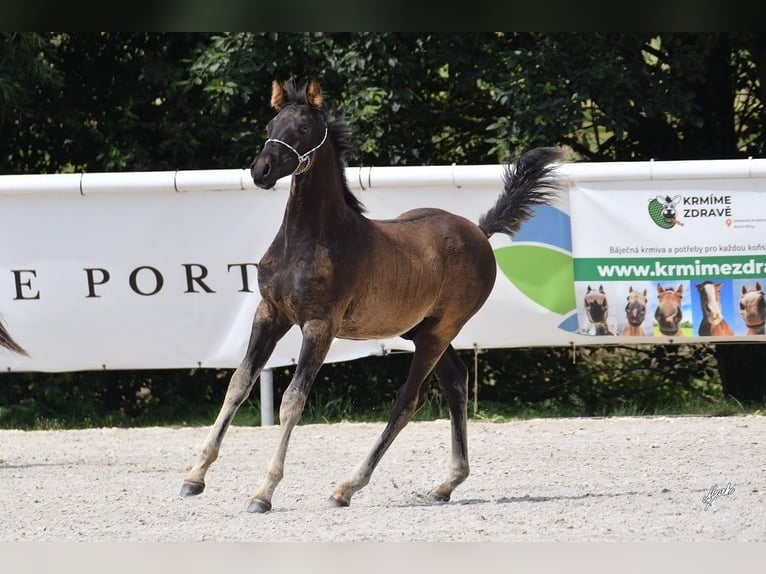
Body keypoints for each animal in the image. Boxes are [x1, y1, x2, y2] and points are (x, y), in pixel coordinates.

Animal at [179, 78, 566, 513]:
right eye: (271, 124)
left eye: (303, 129)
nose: (261, 171)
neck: (308, 240)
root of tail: (480, 232)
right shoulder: (270, 313)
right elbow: (238, 384)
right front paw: (194, 477)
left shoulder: (319, 325)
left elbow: (293, 399)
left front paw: (263, 492)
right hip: (420, 329)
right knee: (454, 380)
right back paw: (444, 485)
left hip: (438, 332)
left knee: (408, 399)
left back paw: (346, 487)